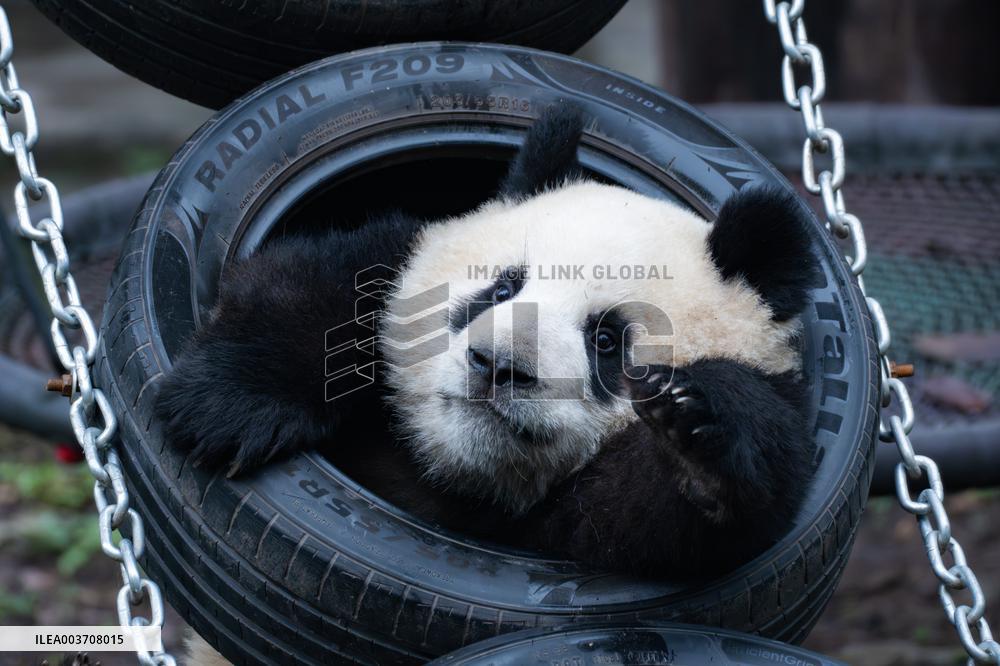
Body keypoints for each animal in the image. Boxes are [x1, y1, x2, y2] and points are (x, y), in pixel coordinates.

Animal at [157, 107, 818, 589]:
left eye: (606, 340)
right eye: (501, 287)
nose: (499, 366)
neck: (465, 475)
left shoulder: (585, 532)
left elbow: (662, 519)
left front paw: (698, 434)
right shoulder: (395, 254)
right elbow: (330, 280)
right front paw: (225, 403)